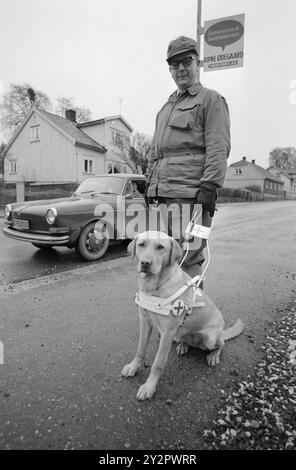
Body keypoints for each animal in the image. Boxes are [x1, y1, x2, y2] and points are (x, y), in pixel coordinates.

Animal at [121, 231, 244, 400]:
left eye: (160, 247)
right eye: (141, 245)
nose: (145, 263)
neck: (154, 286)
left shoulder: (167, 332)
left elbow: (158, 363)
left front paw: (149, 386)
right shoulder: (145, 322)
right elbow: (140, 349)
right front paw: (133, 367)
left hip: (210, 338)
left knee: (221, 344)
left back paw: (213, 355)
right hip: (179, 333)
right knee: (188, 340)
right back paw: (184, 345)